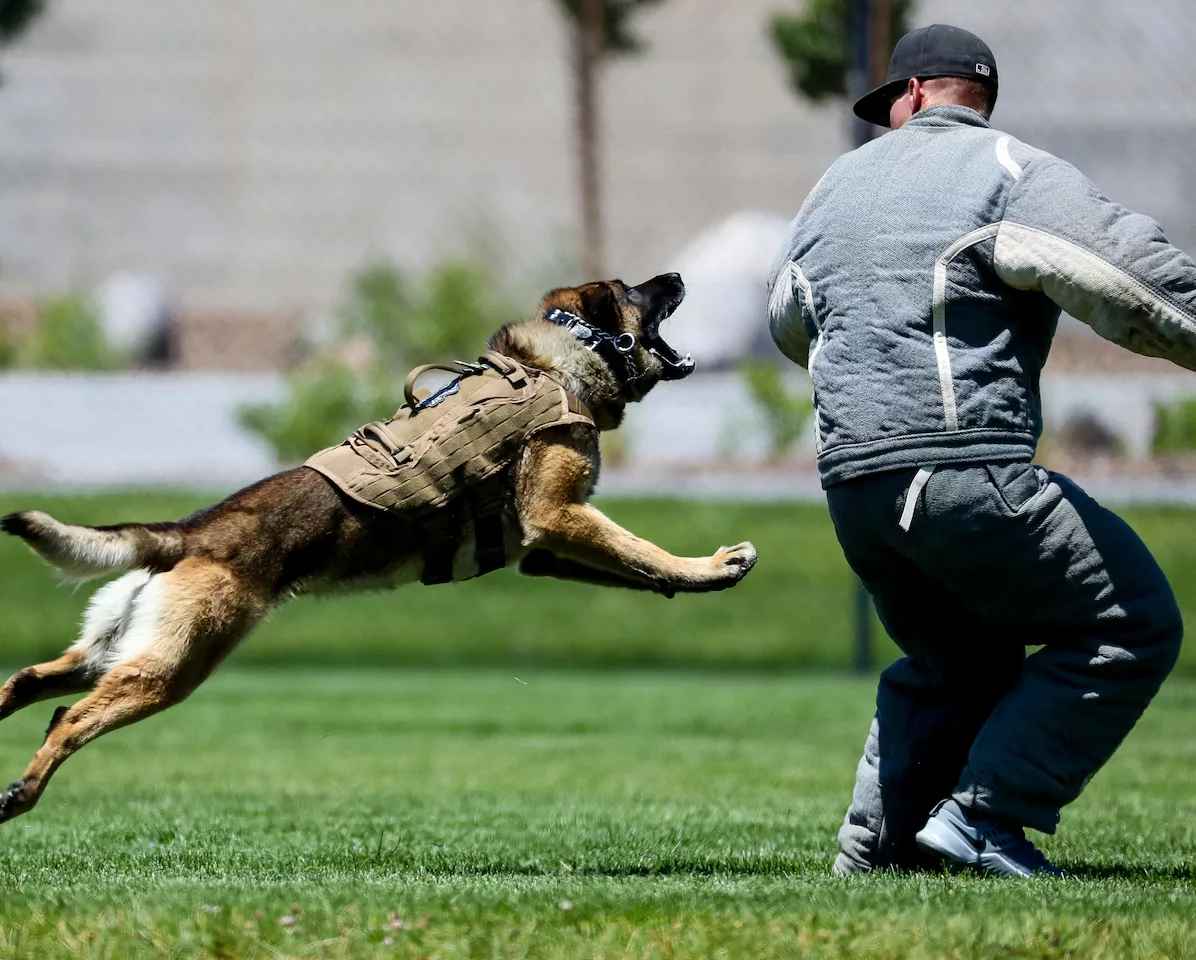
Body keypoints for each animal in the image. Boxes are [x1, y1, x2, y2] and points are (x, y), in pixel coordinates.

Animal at [0, 273, 755, 822]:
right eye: (637, 289)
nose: (678, 273)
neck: (557, 363)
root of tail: (188, 532)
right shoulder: (558, 517)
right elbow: (641, 546)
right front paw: (710, 564)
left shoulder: (545, 548)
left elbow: (631, 562)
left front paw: (695, 580)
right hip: (172, 665)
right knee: (67, 717)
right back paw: (21, 794)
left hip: (117, 650)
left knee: (28, 681)